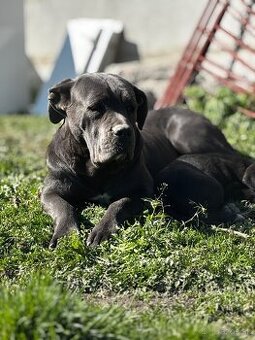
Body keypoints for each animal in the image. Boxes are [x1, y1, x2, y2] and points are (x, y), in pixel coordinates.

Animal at [41, 73, 253, 247]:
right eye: (95, 108)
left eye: (131, 107)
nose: (124, 131)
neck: (96, 169)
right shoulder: (50, 191)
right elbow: (63, 207)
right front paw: (65, 234)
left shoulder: (142, 192)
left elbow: (118, 204)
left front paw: (102, 230)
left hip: (188, 137)